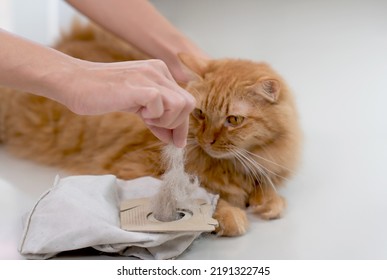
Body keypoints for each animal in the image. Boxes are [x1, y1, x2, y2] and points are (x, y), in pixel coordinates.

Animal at [0, 24, 304, 236]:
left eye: (233, 120)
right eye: (200, 114)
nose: (207, 140)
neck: (232, 166)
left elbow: (266, 186)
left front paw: (269, 200)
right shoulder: (135, 168)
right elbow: (201, 195)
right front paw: (229, 215)